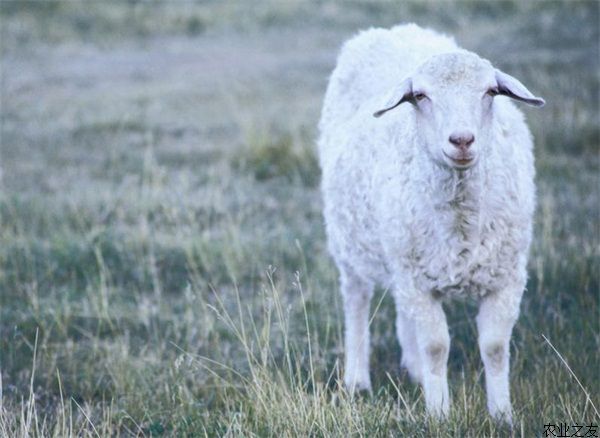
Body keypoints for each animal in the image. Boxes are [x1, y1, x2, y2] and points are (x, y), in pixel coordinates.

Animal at [318, 24, 544, 424]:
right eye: (420, 96)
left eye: (490, 91)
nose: (462, 140)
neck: (461, 221)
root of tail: (393, 30)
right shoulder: (417, 280)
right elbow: (437, 346)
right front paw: (440, 414)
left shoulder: (507, 276)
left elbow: (495, 346)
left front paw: (502, 414)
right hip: (352, 244)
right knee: (357, 301)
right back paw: (357, 379)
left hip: (402, 257)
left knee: (403, 313)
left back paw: (414, 370)